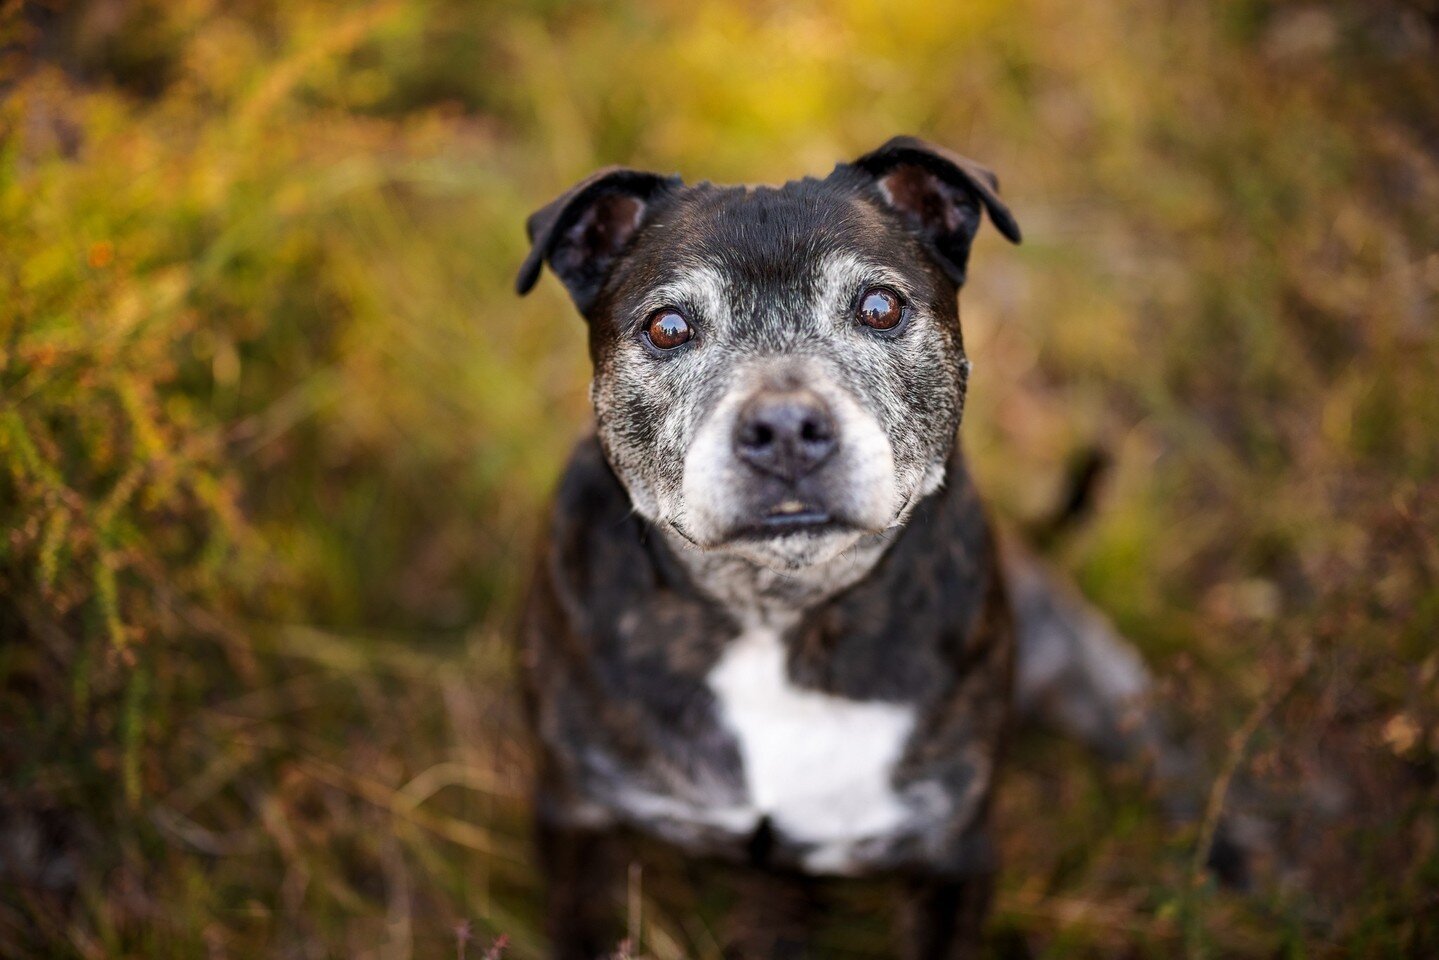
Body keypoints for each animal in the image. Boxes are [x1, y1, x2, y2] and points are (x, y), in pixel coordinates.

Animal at [518, 136, 1214, 960]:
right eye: (667, 327)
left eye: (880, 308)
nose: (786, 427)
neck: (776, 615)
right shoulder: (576, 815)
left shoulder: (950, 852)